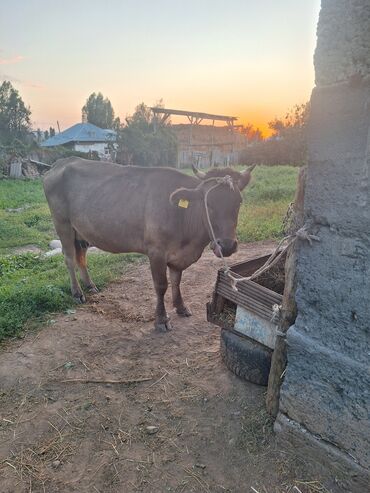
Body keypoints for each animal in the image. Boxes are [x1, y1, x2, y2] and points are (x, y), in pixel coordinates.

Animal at [43, 159, 256, 330]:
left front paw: (181, 307)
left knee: (81, 257)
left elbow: (177, 280)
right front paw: (161, 320)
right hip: (62, 224)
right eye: (207, 203)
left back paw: (90, 286)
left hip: (81, 231)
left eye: (238, 202)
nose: (226, 246)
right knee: (69, 258)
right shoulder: (156, 251)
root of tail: (62, 162)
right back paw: (77, 293)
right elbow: (161, 285)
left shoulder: (178, 256)